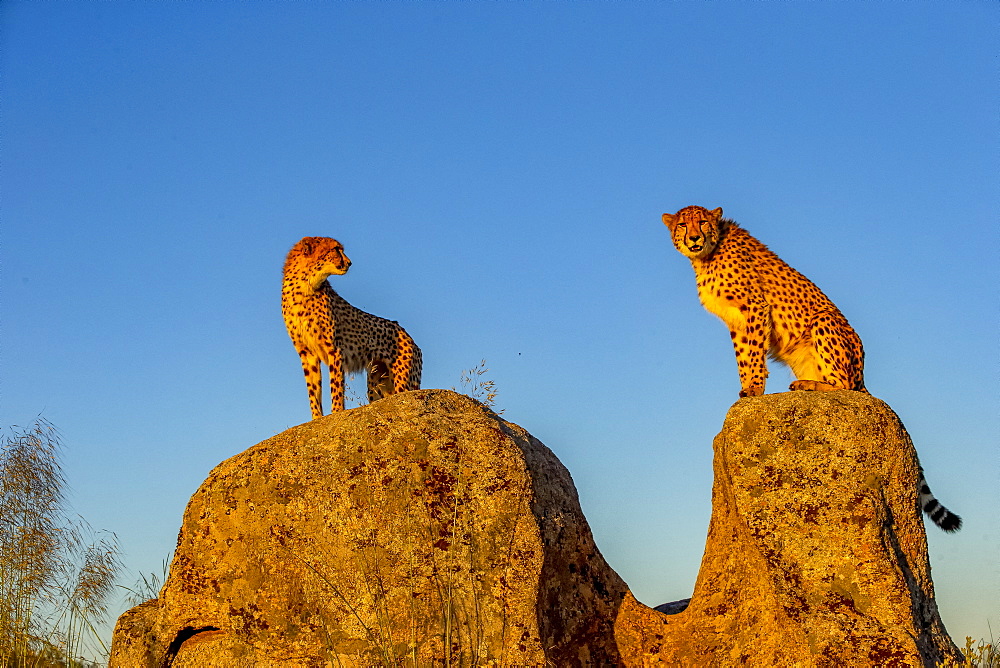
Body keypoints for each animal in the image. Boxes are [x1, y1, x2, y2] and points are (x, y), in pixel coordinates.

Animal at [282, 236, 422, 418]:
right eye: (336, 249)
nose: (349, 263)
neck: (305, 284)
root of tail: (410, 338)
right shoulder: (307, 352)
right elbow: (313, 390)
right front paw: (316, 418)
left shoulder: (335, 349)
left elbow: (336, 386)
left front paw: (336, 412)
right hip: (377, 381)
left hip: (402, 381)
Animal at [660, 204, 956, 532]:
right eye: (683, 224)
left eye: (701, 222)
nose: (693, 237)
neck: (708, 255)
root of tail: (863, 374)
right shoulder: (735, 320)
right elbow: (743, 356)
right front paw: (746, 388)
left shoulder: (755, 307)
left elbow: (754, 353)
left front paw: (755, 389)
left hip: (824, 322)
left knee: (844, 385)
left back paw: (810, 385)